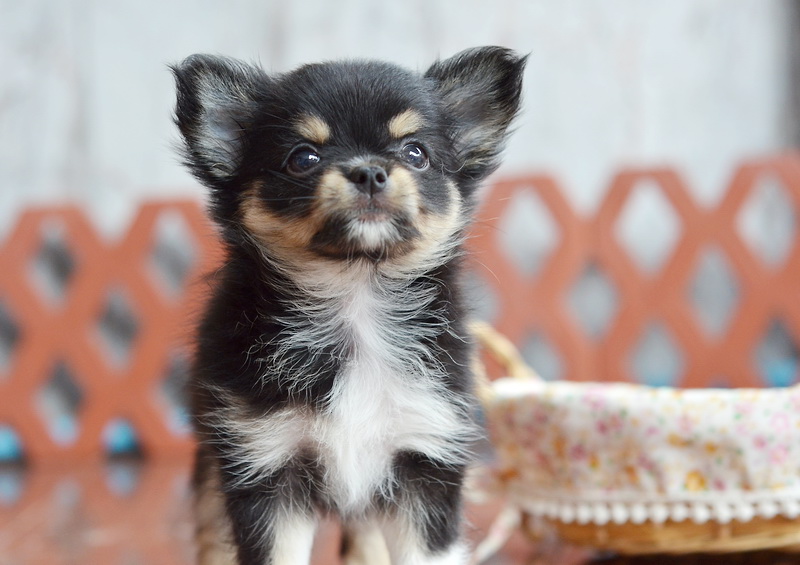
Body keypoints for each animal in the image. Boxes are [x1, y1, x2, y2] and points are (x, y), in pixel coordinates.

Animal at [172, 46, 525, 565]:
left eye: (416, 153)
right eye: (303, 157)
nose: (369, 171)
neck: (355, 293)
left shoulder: (425, 455)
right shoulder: (263, 463)